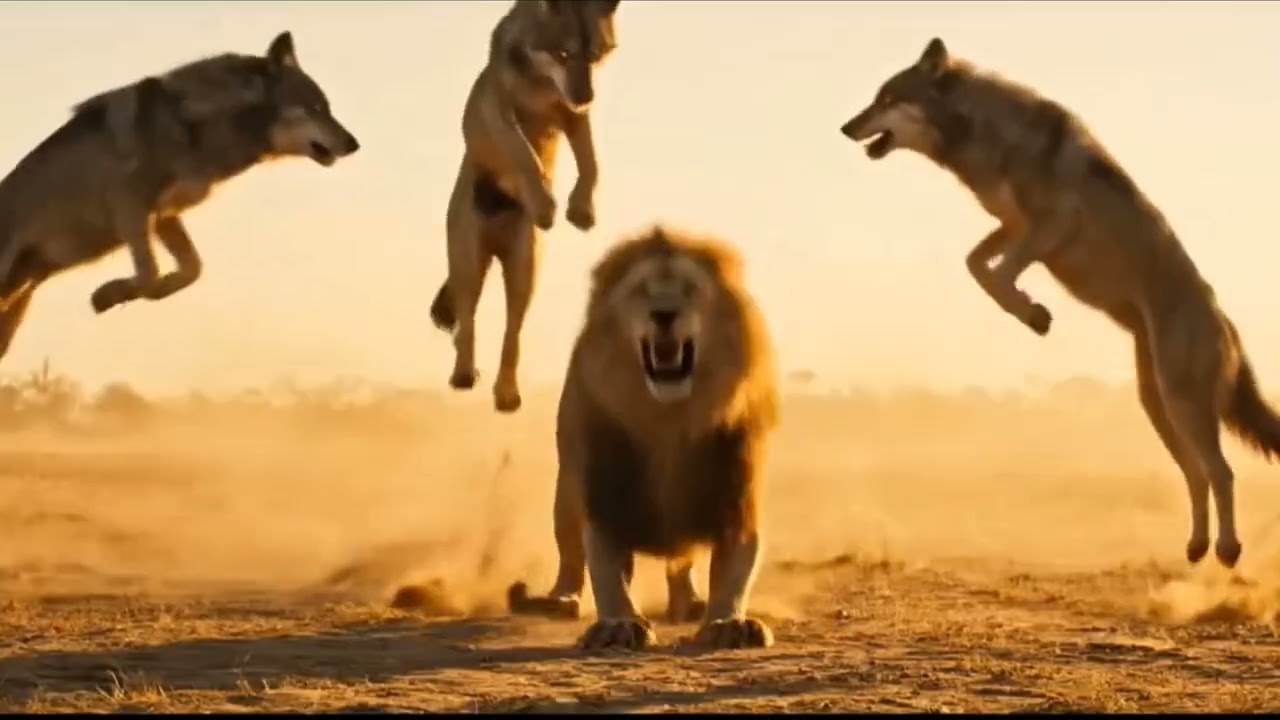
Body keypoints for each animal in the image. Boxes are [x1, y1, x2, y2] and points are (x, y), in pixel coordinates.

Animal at [0, 31, 360, 361]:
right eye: (314, 108)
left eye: (328, 109)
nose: (353, 144)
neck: (197, 126)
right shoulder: (129, 206)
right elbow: (149, 273)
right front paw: (107, 295)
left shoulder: (165, 216)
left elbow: (191, 269)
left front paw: (139, 291)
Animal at [428, 0, 621, 414]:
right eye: (563, 53)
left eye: (595, 55)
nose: (587, 96)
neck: (540, 84)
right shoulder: (492, 112)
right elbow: (523, 154)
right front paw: (545, 201)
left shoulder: (572, 117)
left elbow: (591, 163)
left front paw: (581, 209)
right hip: (469, 263)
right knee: (466, 319)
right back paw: (463, 374)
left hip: (523, 272)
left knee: (511, 332)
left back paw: (506, 394)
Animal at [507, 225, 780, 651]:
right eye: (641, 291)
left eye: (690, 289)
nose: (664, 313)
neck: (667, 422)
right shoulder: (605, 496)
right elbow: (605, 569)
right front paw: (619, 623)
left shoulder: (736, 497)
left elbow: (735, 567)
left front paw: (729, 622)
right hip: (566, 487)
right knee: (570, 553)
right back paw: (559, 599)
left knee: (681, 564)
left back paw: (689, 602)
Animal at [840, 37, 1280, 569]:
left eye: (887, 99)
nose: (845, 128)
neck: (985, 131)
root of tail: (1226, 322)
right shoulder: (1011, 225)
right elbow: (976, 265)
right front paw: (1030, 310)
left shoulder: (1051, 227)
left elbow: (998, 275)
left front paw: (1032, 313)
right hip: (1158, 405)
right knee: (1196, 473)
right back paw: (1196, 546)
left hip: (1183, 403)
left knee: (1222, 472)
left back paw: (1228, 549)